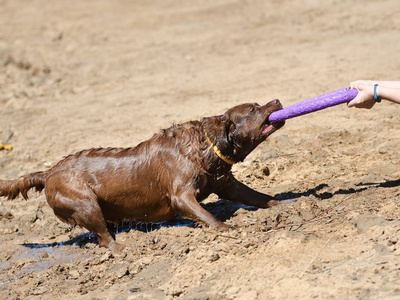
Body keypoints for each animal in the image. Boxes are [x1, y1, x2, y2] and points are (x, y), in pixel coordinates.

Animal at [0, 99, 288, 250]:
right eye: (253, 109)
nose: (276, 100)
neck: (205, 146)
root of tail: (48, 172)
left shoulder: (225, 182)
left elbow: (254, 195)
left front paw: (281, 203)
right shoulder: (180, 195)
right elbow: (203, 213)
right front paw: (227, 228)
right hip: (84, 202)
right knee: (104, 237)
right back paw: (124, 249)